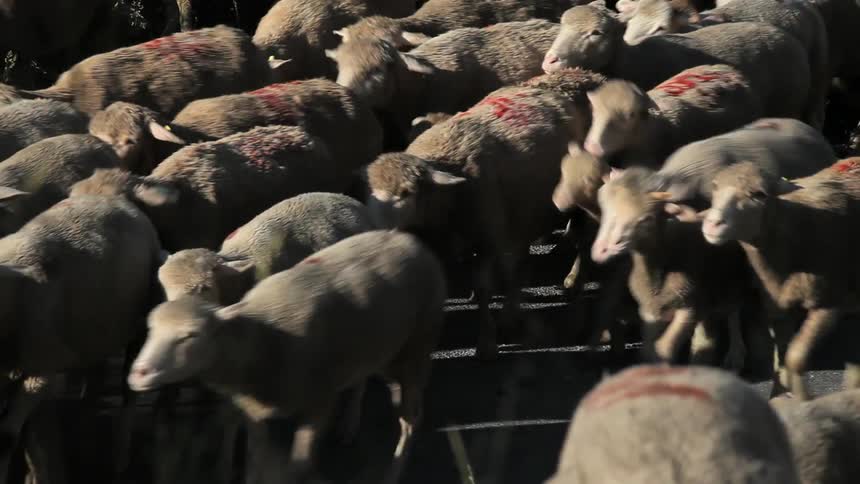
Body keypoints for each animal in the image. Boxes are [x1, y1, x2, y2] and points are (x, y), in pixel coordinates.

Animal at [0, 194, 162, 484]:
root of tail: (115, 199)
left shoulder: (40, 369)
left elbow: (7, 438)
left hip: (139, 320)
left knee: (129, 392)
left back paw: (119, 459)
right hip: (93, 331)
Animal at [127, 230, 446, 483]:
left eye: (191, 335)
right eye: (150, 328)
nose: (138, 373)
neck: (259, 337)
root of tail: (408, 238)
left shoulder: (319, 402)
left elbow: (298, 466)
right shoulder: (255, 414)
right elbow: (255, 462)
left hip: (417, 348)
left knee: (411, 419)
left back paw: (393, 470)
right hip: (373, 344)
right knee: (366, 379)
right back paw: (352, 423)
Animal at [364, 76, 589, 359]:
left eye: (407, 192)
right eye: (372, 190)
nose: (379, 229)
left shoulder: (486, 237)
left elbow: (484, 289)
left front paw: (486, 345)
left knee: (581, 240)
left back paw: (573, 283)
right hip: (520, 209)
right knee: (520, 261)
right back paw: (512, 312)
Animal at [541, 4, 816, 127]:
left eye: (596, 32)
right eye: (561, 25)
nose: (550, 60)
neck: (633, 59)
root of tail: (788, 38)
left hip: (789, 103)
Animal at [702, 158, 860, 399]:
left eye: (759, 194)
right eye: (715, 187)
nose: (712, 223)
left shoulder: (828, 302)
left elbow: (795, 357)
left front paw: (804, 398)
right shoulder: (778, 308)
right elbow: (783, 358)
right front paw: (777, 396)